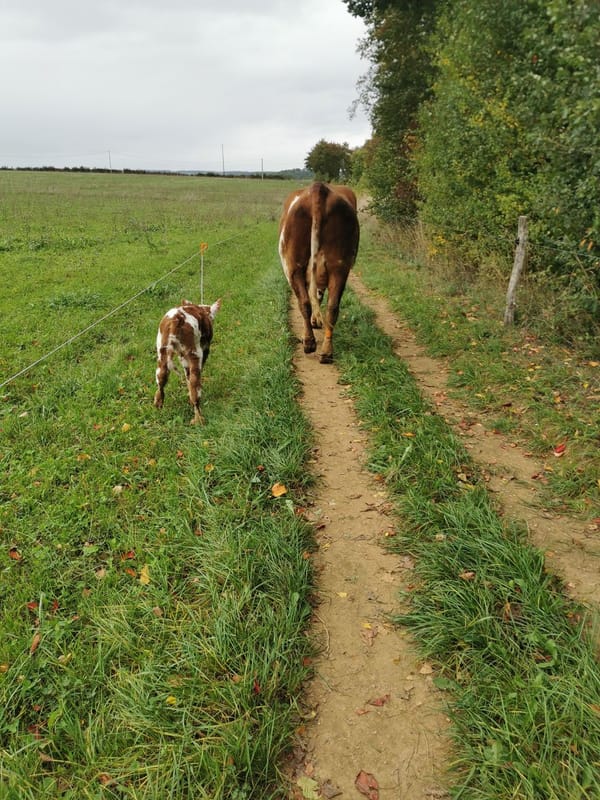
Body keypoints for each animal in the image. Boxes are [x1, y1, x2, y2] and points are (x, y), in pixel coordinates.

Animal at [278, 180, 358, 362]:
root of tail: (318, 189)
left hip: (294, 266)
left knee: (305, 302)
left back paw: (309, 342)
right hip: (339, 267)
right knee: (332, 306)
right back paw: (327, 352)